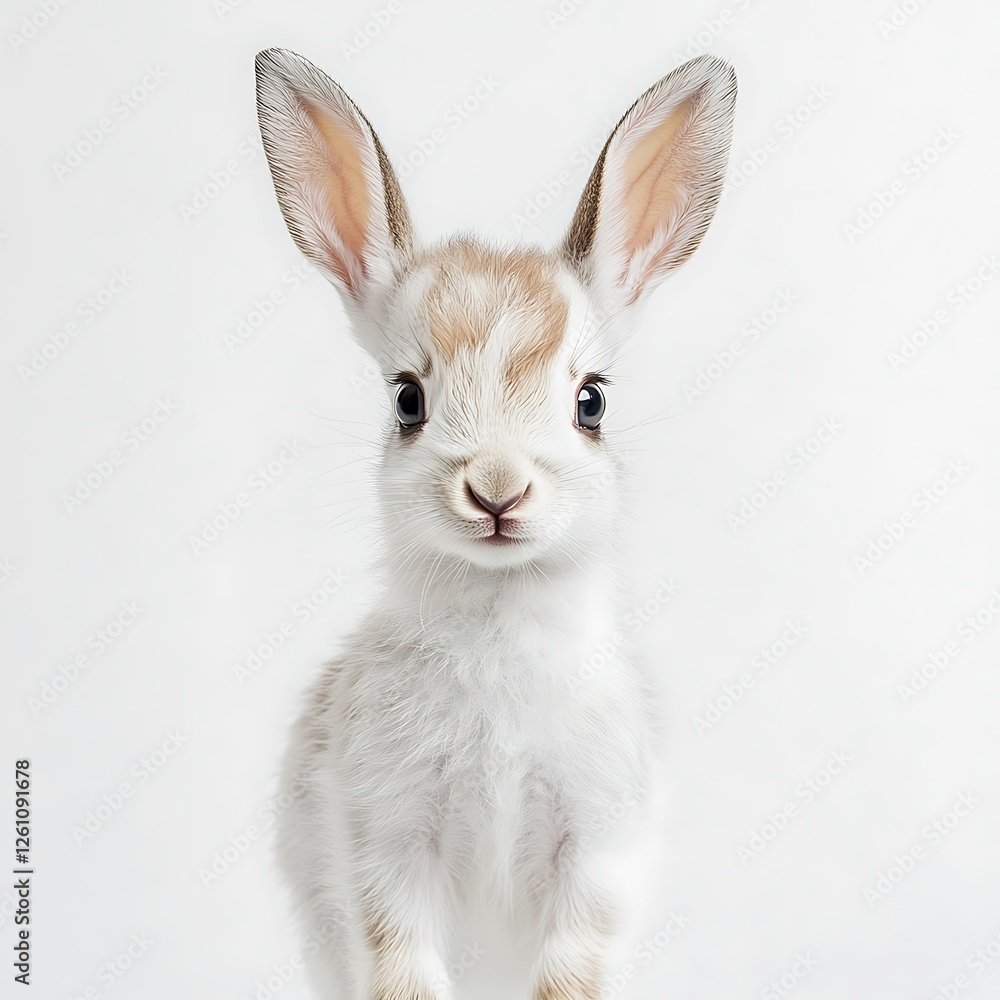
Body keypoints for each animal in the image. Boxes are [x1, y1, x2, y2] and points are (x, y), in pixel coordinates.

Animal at [255, 46, 736, 1000]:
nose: (498, 491)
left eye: (591, 403)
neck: (499, 613)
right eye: (407, 400)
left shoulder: (593, 853)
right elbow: (402, 964)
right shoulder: (389, 844)